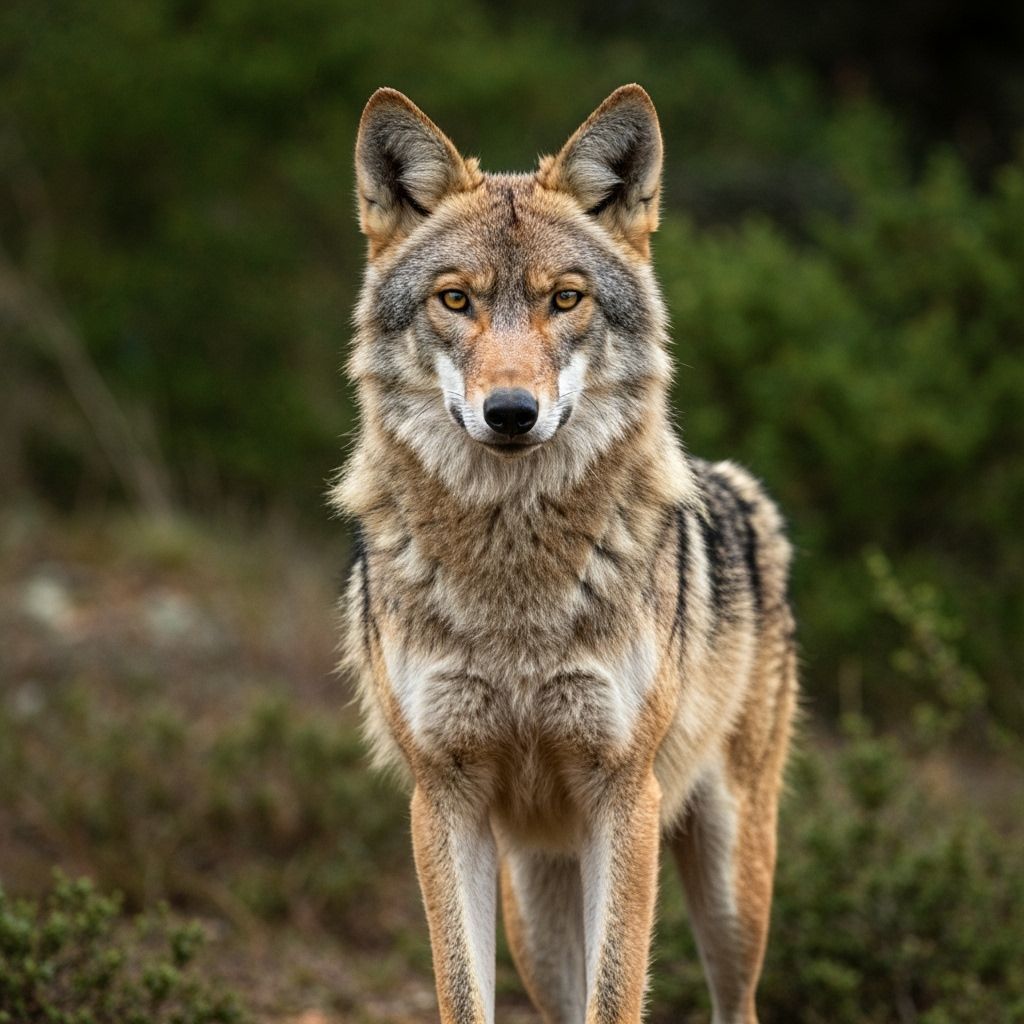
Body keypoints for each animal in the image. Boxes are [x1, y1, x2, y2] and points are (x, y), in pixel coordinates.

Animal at [332, 84, 797, 1024]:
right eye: (456, 301)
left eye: (566, 299)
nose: (511, 412)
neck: (513, 579)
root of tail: (743, 490)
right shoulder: (444, 795)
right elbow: (462, 994)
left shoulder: (623, 790)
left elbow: (618, 994)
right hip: (537, 912)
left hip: (730, 888)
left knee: (736, 999)